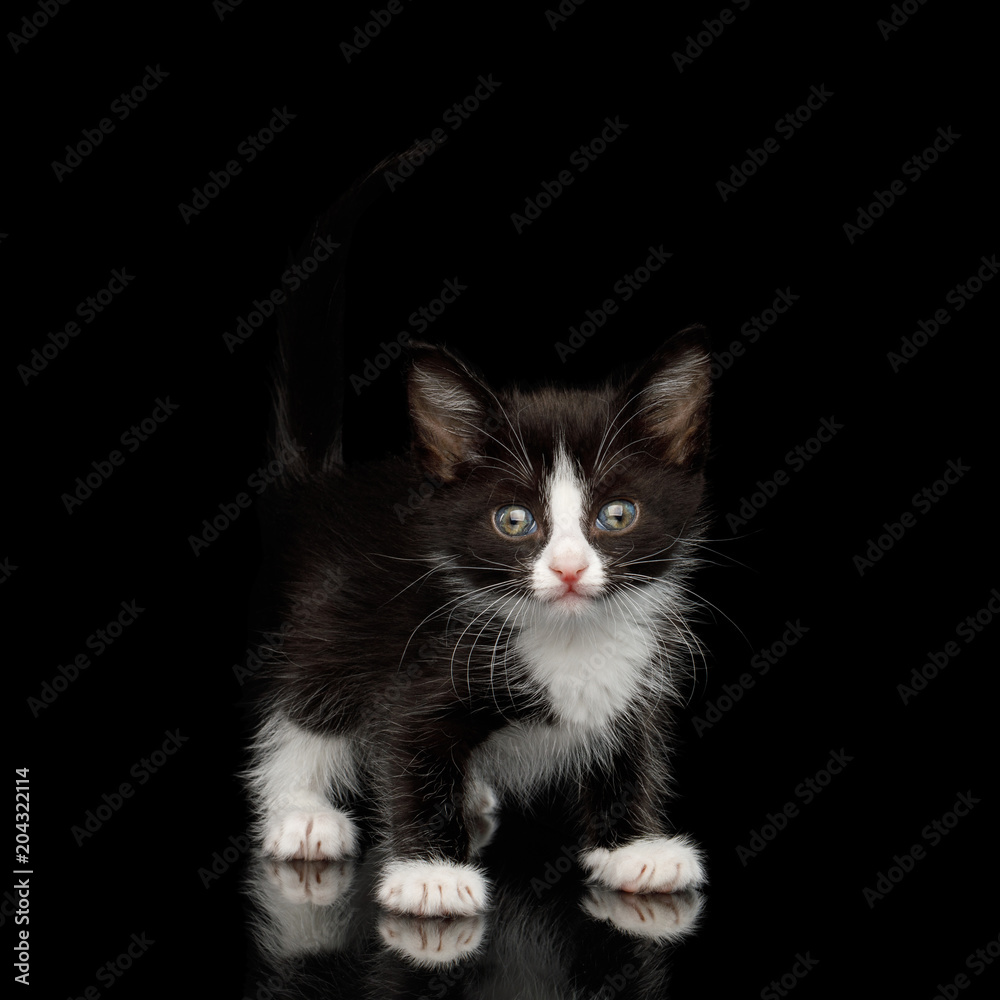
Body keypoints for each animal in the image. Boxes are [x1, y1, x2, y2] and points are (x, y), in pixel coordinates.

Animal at [242, 146, 712, 916]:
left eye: (617, 516)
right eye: (514, 521)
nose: (570, 569)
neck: (569, 640)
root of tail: (324, 488)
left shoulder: (638, 681)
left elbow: (629, 753)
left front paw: (633, 848)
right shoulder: (423, 666)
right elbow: (408, 748)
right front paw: (430, 870)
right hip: (329, 618)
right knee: (308, 701)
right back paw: (301, 811)